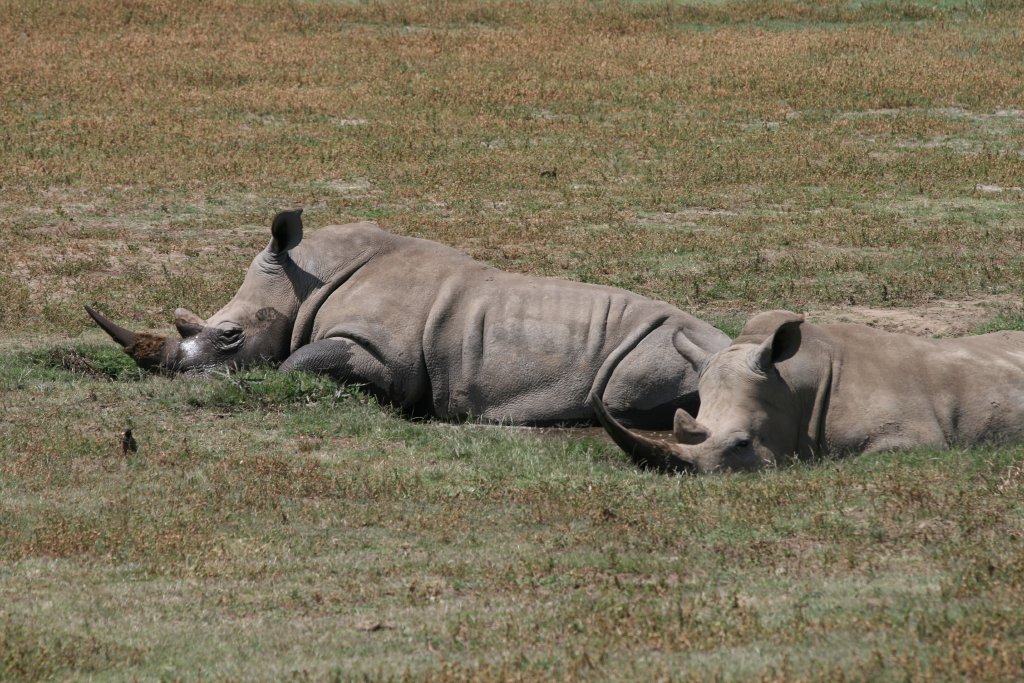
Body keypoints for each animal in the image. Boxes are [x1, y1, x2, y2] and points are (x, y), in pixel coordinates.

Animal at [87, 210, 730, 426]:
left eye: (229, 336)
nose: (179, 378)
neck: (303, 278)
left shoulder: (379, 352)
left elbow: (297, 363)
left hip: (667, 347)